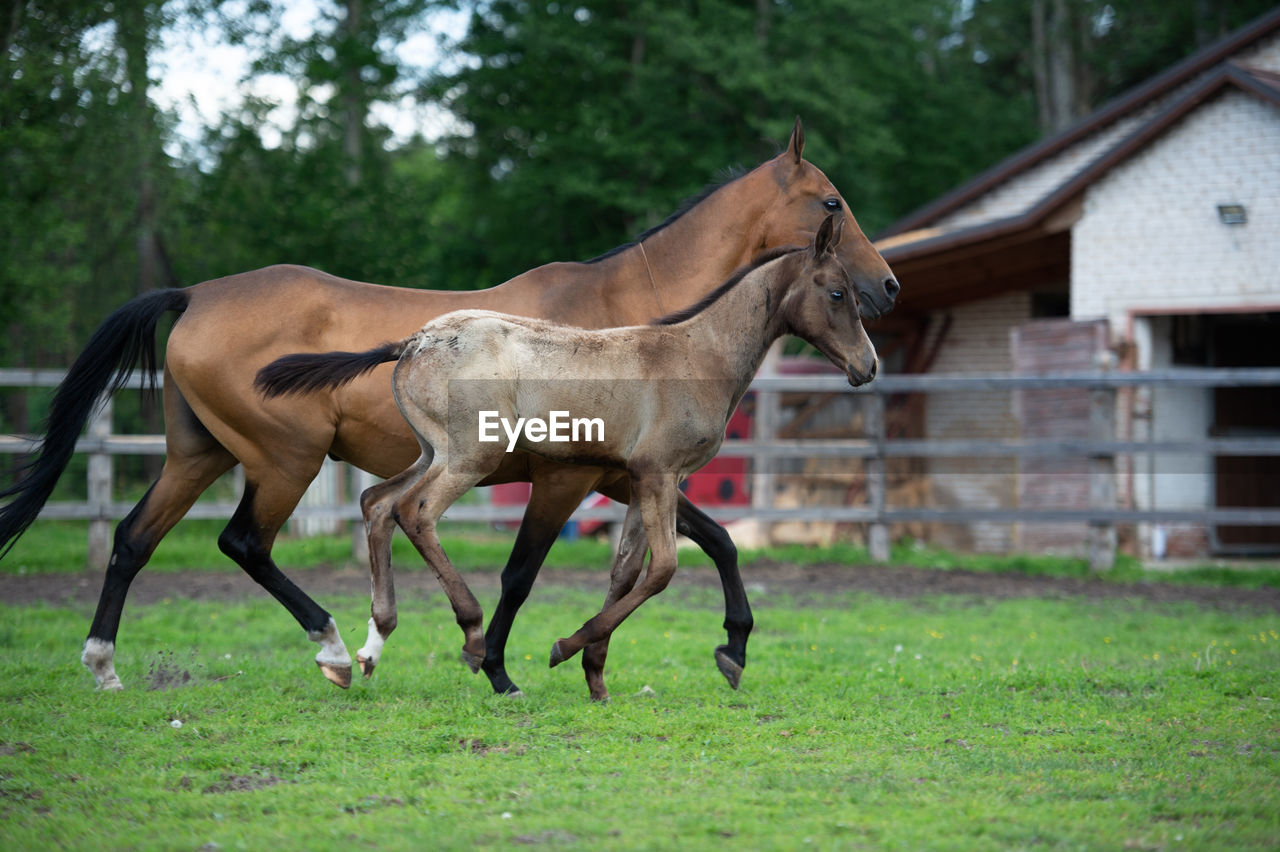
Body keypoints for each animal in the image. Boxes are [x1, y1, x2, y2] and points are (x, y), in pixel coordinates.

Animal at [259, 213, 880, 695]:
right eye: (837, 293)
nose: (868, 366)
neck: (696, 354)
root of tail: (412, 342)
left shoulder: (645, 477)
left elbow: (629, 569)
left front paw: (597, 672)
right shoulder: (656, 474)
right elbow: (663, 570)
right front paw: (565, 648)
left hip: (431, 452)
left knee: (377, 503)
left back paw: (371, 646)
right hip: (470, 457)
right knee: (416, 512)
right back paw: (472, 637)